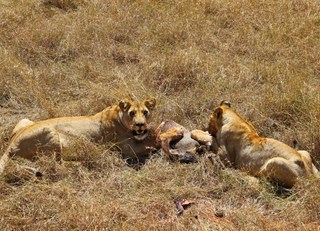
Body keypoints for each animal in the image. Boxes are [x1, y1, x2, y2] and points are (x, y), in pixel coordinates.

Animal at [0, 97, 158, 175]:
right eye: (132, 113)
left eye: (145, 112)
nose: (140, 124)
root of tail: (10, 145)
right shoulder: (128, 149)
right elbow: (150, 144)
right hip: (50, 132)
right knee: (57, 164)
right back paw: (84, 162)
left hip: (24, 120)